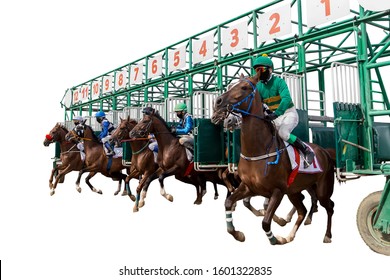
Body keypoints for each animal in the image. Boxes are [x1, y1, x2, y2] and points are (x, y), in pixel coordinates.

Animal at [210, 74, 336, 245]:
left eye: (244, 87)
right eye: (230, 86)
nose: (218, 102)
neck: (257, 149)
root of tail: (324, 151)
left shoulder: (277, 190)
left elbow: (265, 221)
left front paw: (274, 238)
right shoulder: (248, 186)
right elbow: (229, 203)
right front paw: (238, 234)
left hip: (322, 188)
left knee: (329, 206)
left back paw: (327, 235)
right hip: (294, 190)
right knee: (302, 210)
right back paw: (289, 236)